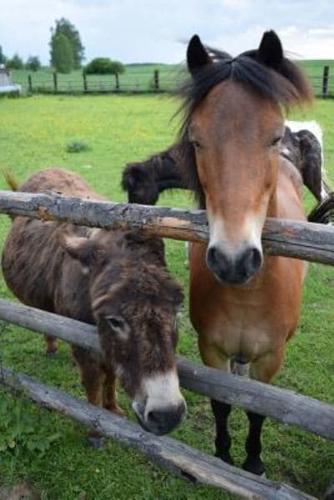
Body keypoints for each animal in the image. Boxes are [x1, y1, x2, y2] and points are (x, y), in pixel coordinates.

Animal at [1, 170, 187, 440]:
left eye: (176, 312)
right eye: (114, 321)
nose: (167, 415)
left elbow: (110, 375)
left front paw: (112, 408)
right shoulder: (84, 343)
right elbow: (93, 382)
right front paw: (96, 428)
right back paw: (52, 347)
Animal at [177, 29, 328, 474]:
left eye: (273, 137)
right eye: (196, 140)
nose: (233, 260)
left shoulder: (271, 358)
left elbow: (260, 409)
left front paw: (254, 462)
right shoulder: (211, 350)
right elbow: (223, 403)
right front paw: (224, 455)